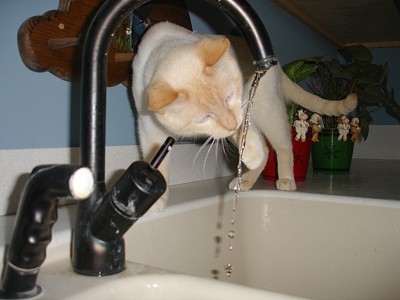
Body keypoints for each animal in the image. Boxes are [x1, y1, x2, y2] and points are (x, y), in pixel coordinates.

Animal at [131, 21, 356, 211]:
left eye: (228, 97)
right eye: (204, 118)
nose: (231, 125)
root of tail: (275, 62)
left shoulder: (240, 108)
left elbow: (248, 138)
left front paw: (252, 154)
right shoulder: (149, 128)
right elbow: (156, 160)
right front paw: (153, 200)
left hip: (268, 110)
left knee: (281, 146)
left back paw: (285, 179)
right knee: (266, 149)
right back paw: (245, 181)